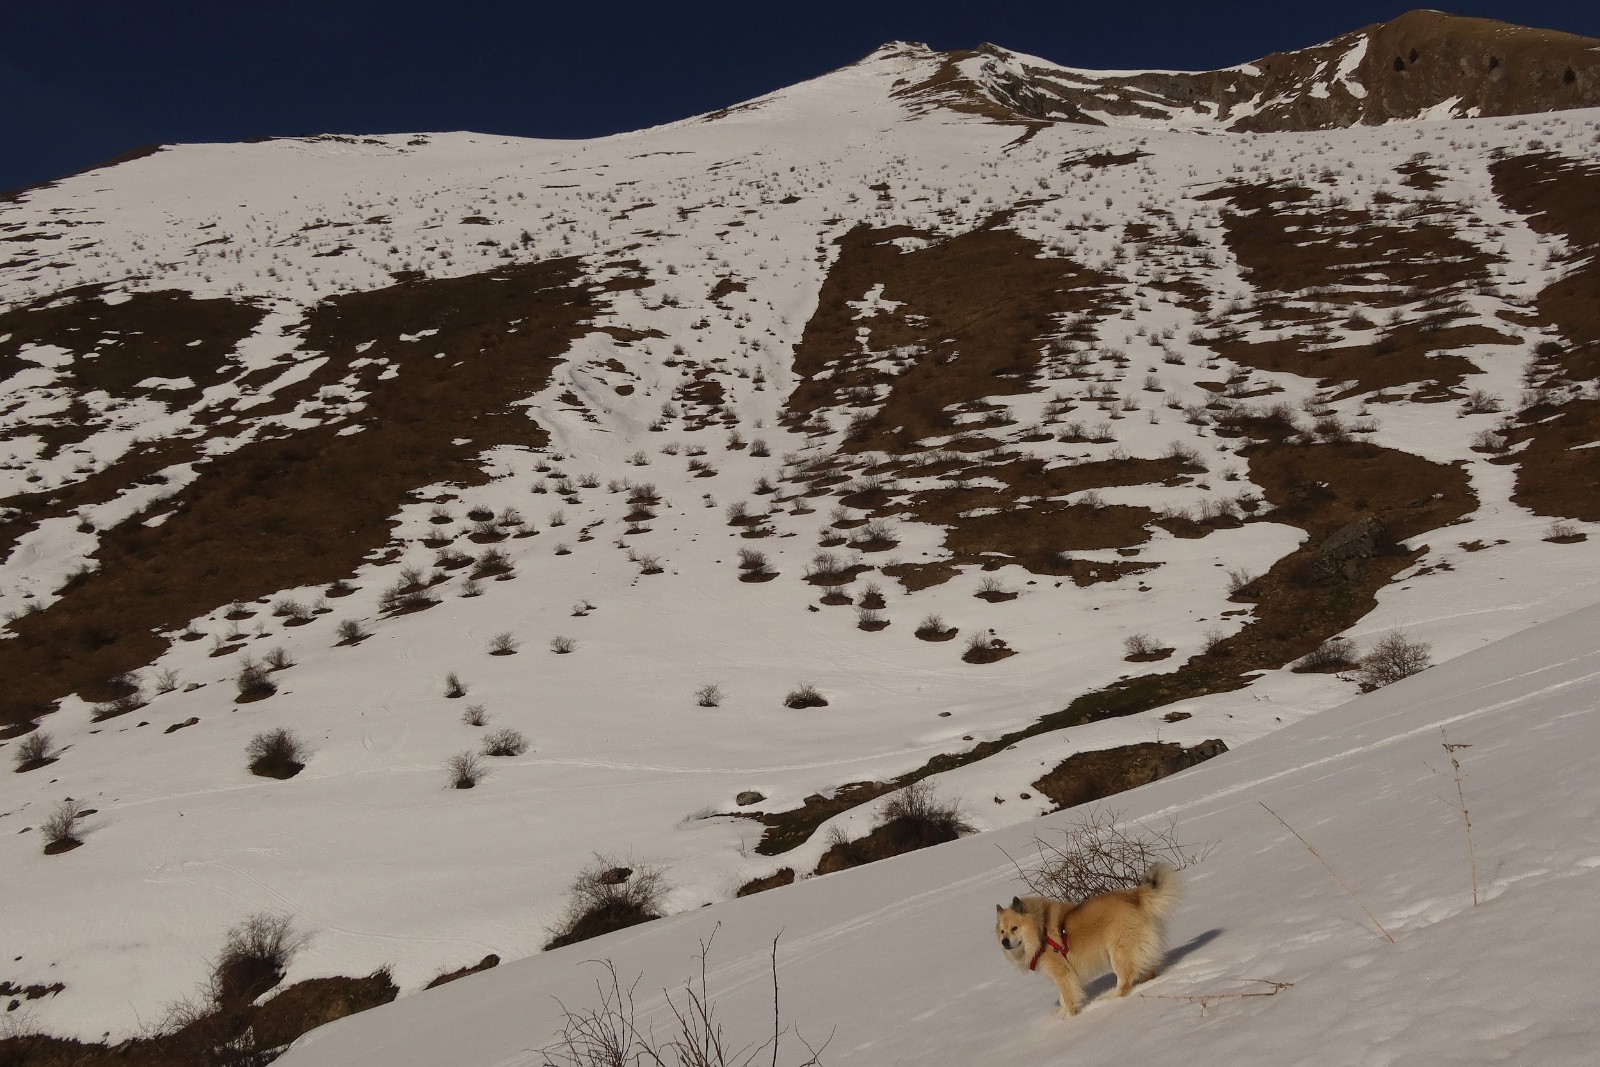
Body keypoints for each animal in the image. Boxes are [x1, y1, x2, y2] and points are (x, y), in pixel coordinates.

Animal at [992, 857, 1184, 1017]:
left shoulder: (1062, 972)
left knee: (1124, 982)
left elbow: (1067, 997)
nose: (1004, 942)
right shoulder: (1065, 972)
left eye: (1014, 928)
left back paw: (1109, 998)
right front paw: (1060, 1016)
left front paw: (1071, 1018)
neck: (1041, 930)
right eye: (1002, 931)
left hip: (1119, 951)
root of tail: (1135, 896)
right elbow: (1063, 998)